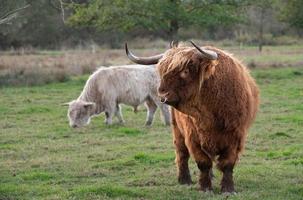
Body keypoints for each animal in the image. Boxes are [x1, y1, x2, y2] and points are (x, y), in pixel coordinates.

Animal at [124, 41, 260, 194]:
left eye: (185, 71)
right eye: (162, 71)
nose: (162, 95)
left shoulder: (236, 136)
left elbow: (227, 163)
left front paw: (228, 189)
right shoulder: (193, 137)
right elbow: (203, 162)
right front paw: (205, 188)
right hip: (177, 129)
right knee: (181, 153)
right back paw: (184, 179)